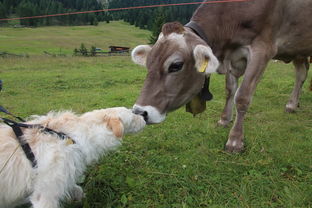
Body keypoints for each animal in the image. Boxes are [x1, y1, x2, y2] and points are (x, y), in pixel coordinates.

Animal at [131, 0, 312, 153]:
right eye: (148, 64)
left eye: (176, 65)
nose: (140, 112)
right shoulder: (233, 57)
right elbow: (230, 90)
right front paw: (224, 120)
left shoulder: (262, 49)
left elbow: (242, 97)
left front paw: (235, 141)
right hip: (299, 50)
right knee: (301, 74)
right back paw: (292, 104)